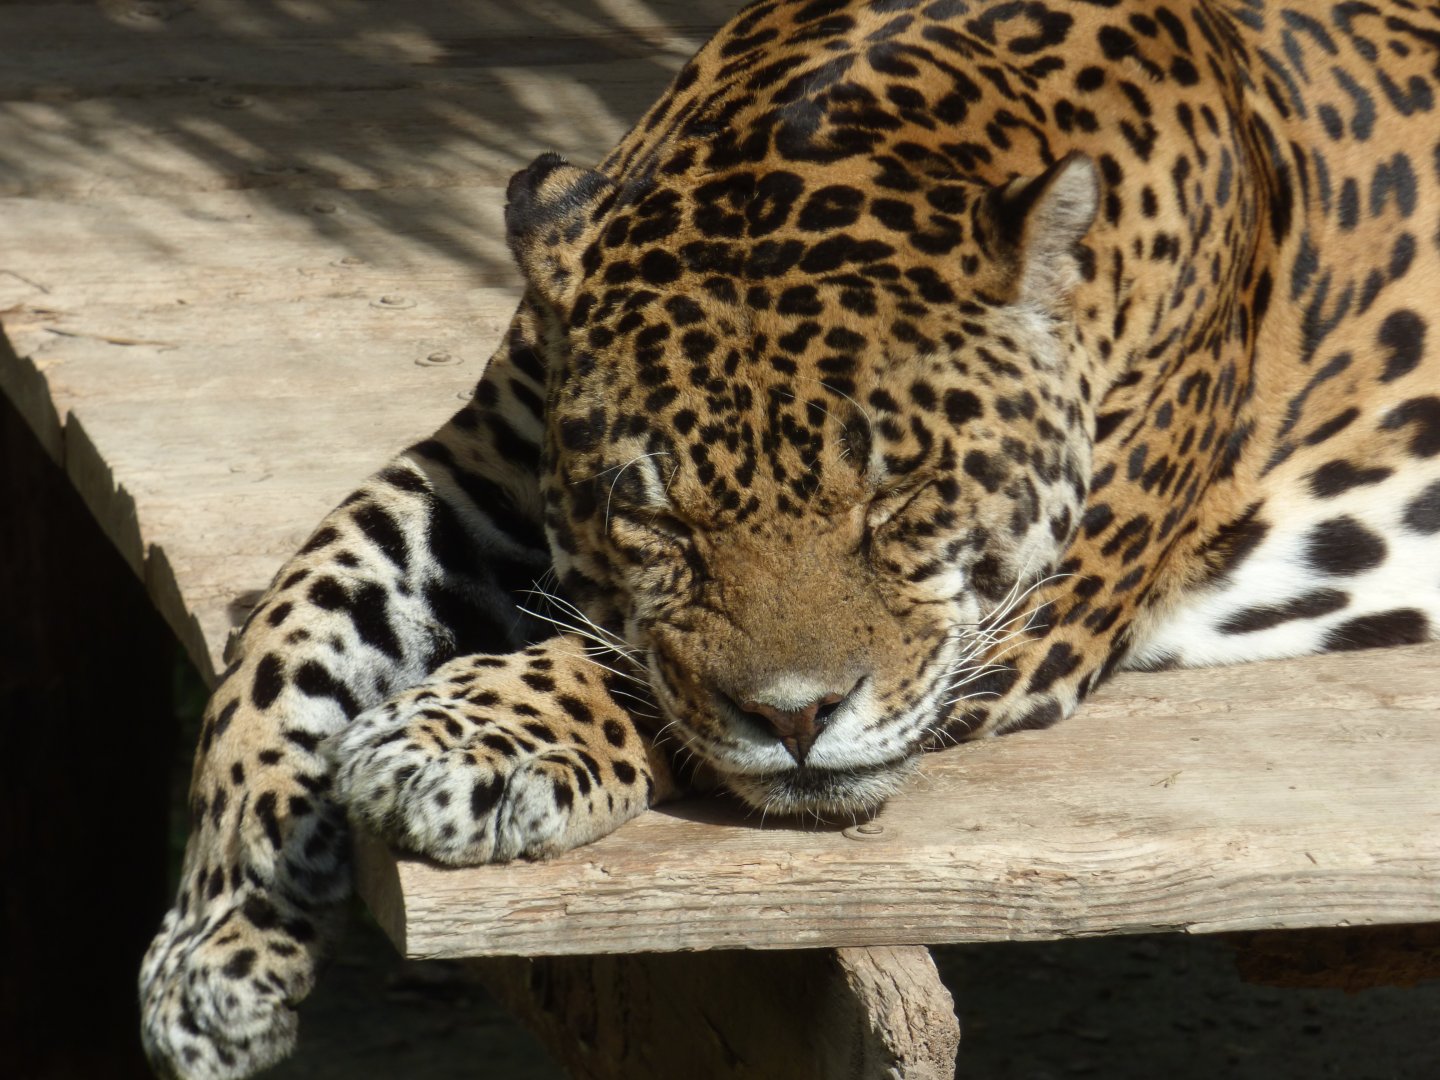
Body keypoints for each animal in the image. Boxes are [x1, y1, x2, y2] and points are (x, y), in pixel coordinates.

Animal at [140, 0, 1440, 1076]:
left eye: (902, 494)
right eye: (656, 516)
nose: (800, 720)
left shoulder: (1040, 610)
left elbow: (626, 666)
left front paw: (460, 740)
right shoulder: (480, 467)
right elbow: (301, 616)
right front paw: (215, 956)